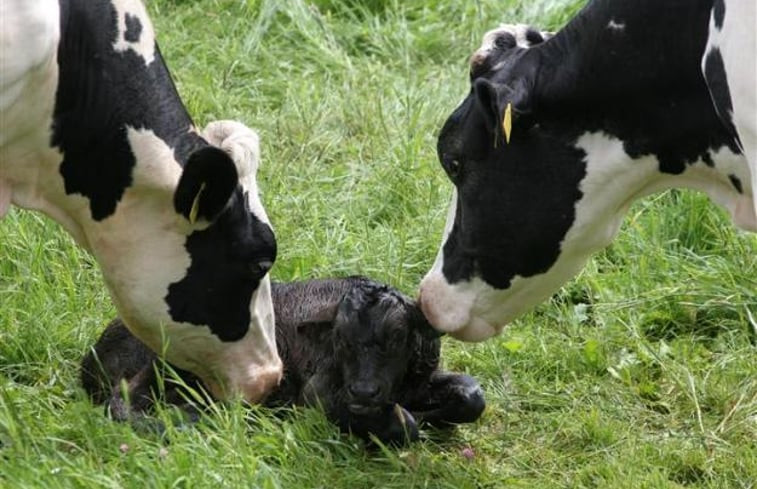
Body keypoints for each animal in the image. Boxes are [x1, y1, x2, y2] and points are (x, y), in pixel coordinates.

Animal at [81, 276, 484, 444]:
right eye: (341, 340)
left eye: (398, 338)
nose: (364, 391)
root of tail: (94, 354)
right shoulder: (315, 397)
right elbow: (407, 426)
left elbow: (472, 395)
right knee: (121, 404)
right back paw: (194, 417)